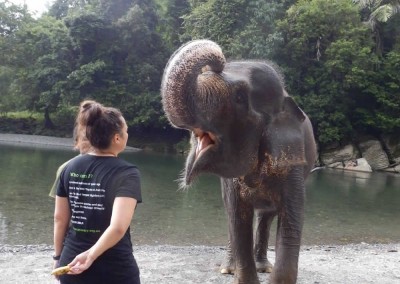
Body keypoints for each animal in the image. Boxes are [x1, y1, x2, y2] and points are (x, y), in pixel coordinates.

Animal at [159, 40, 316, 284]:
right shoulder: (231, 181)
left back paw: (264, 267)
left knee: (266, 216)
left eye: (240, 98)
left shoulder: (293, 164)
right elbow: (237, 218)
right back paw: (228, 269)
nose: (216, 62)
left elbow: (291, 220)